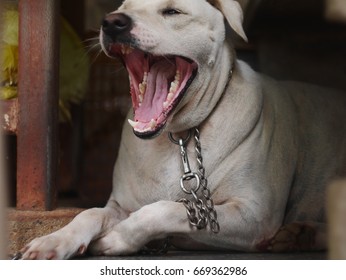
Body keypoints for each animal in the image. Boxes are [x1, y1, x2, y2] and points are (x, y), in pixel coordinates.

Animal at [21, 0, 346, 260]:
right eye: (123, 7)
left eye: (172, 11)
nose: (113, 22)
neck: (179, 136)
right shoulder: (120, 205)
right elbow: (89, 213)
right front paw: (53, 241)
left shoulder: (252, 217)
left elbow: (164, 209)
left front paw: (117, 238)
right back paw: (300, 235)